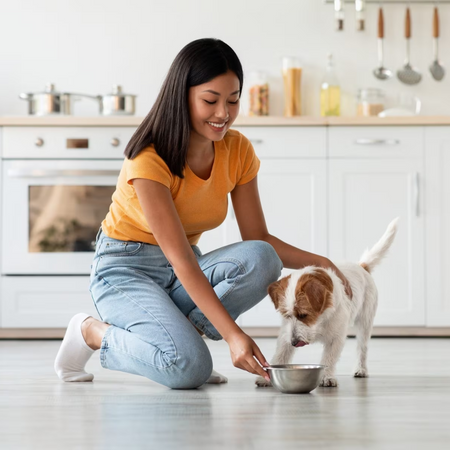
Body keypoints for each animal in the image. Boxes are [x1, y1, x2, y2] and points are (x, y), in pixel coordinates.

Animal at [256, 218, 398, 386]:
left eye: (303, 315)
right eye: (286, 315)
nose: (294, 342)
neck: (320, 320)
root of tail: (361, 266)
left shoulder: (336, 338)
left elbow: (329, 358)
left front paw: (326, 377)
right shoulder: (286, 335)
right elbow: (281, 354)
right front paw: (267, 376)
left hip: (365, 323)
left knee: (362, 348)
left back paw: (361, 369)